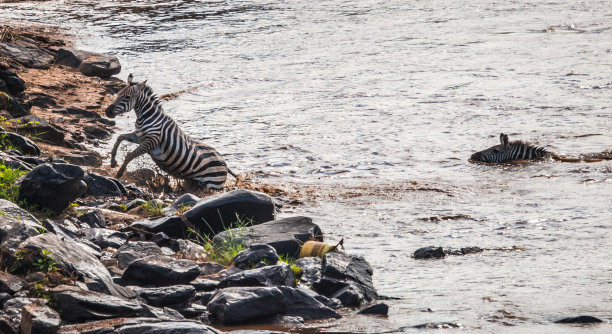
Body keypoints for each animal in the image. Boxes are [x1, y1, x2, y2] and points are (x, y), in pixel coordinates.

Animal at [105, 74, 234, 189]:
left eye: (126, 97)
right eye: (118, 94)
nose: (107, 111)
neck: (148, 117)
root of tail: (224, 163)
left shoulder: (151, 141)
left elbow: (129, 155)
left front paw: (119, 173)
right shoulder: (139, 137)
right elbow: (120, 137)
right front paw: (113, 161)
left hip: (213, 184)